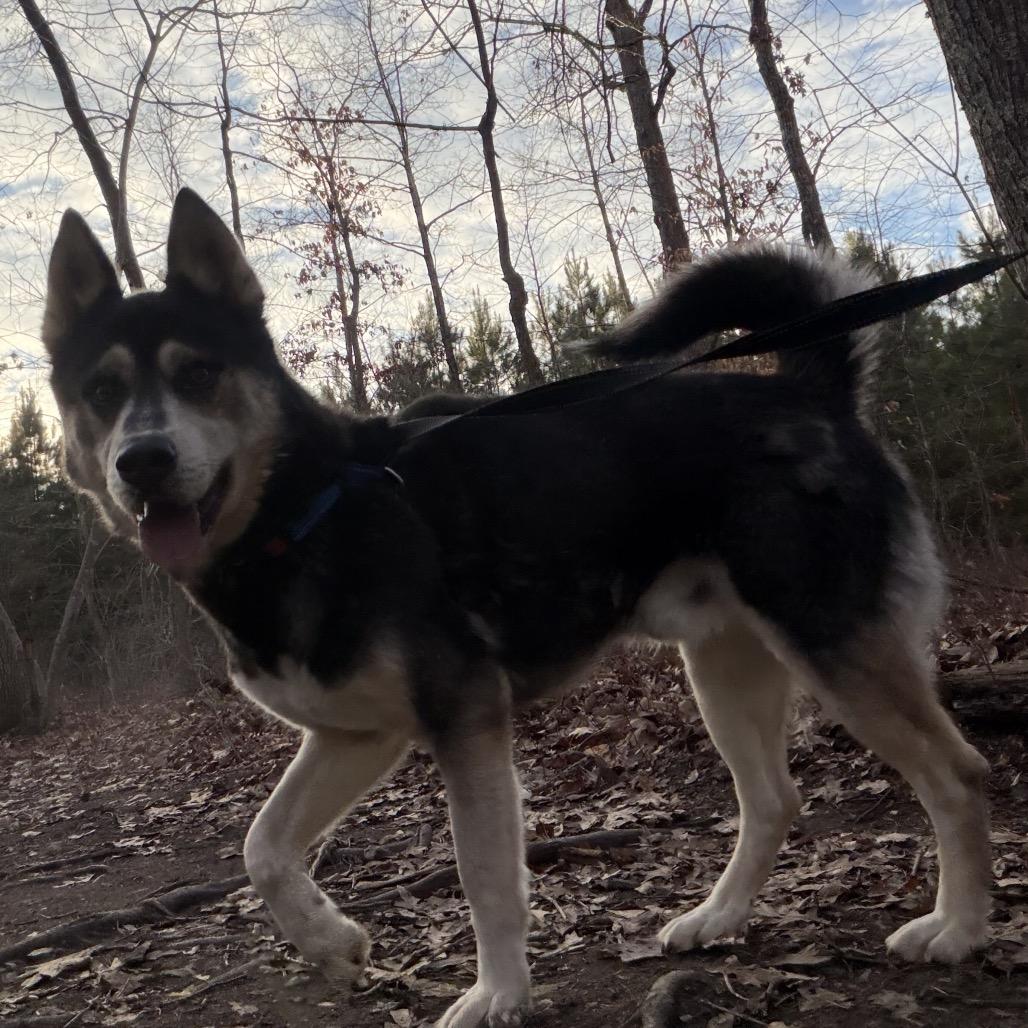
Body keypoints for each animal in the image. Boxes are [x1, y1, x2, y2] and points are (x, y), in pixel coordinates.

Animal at [43, 190, 990, 1027]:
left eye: (199, 374)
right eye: (101, 392)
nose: (143, 461)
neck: (307, 511)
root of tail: (807, 388)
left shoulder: (464, 718)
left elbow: (486, 876)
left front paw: (498, 995)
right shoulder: (356, 735)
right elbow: (262, 847)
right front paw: (329, 943)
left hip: (831, 643)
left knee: (958, 774)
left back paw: (958, 928)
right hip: (725, 666)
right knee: (774, 800)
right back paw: (718, 919)